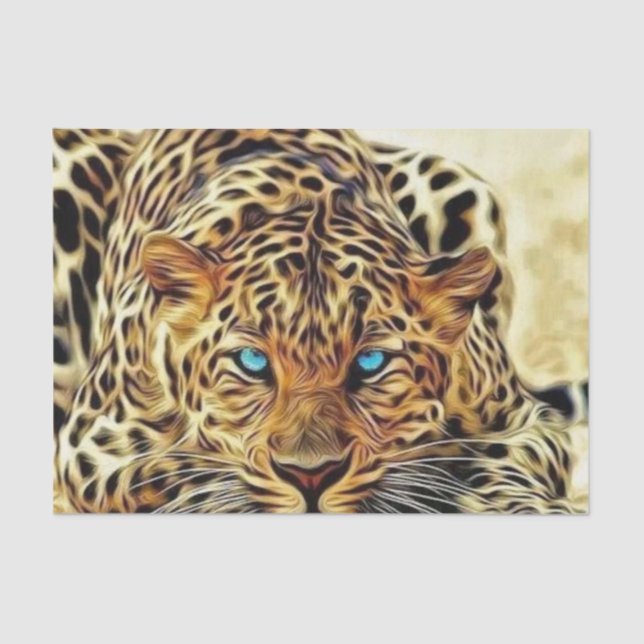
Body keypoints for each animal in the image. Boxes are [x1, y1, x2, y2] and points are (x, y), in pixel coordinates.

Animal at [53, 128, 587, 513]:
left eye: (371, 363)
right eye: (251, 362)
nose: (311, 475)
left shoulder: (524, 424)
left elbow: (495, 467)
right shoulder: (96, 446)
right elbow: (194, 475)